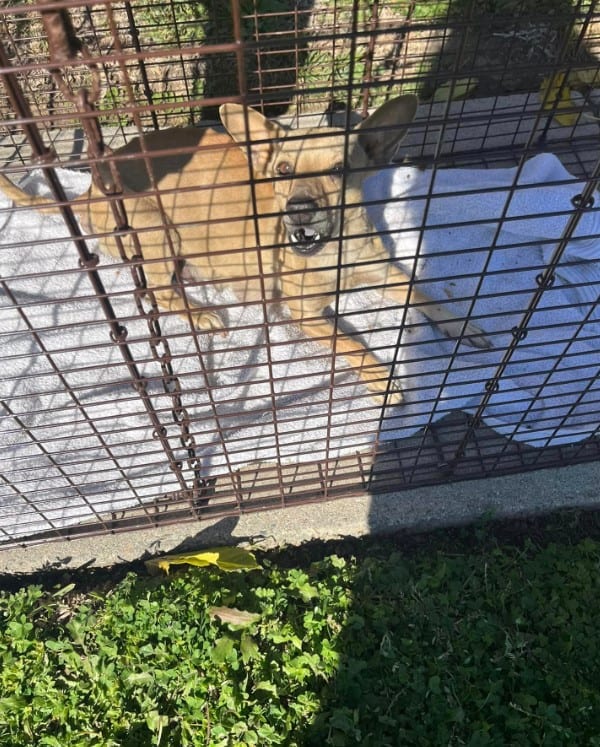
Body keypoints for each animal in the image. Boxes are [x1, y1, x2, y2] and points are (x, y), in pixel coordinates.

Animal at [0, 98, 488, 410]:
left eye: (339, 170)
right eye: (282, 171)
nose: (299, 209)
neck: (330, 248)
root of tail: (88, 189)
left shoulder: (385, 271)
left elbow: (422, 293)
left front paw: (460, 324)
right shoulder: (303, 313)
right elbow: (351, 342)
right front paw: (382, 380)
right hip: (160, 232)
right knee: (155, 291)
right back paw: (201, 311)